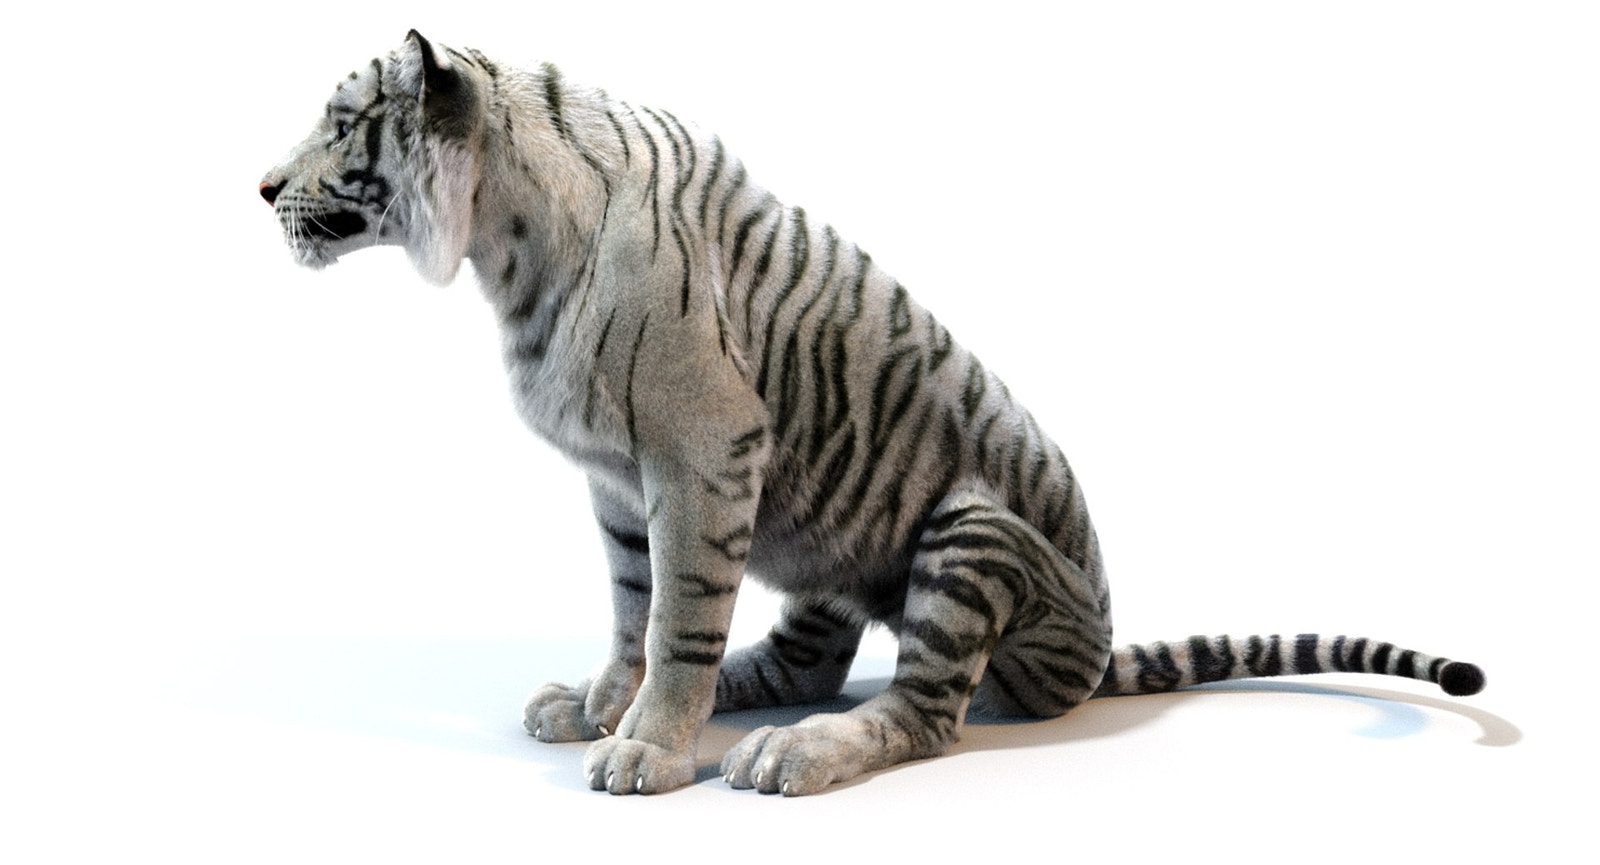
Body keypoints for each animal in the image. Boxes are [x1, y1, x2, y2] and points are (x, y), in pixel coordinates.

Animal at [260, 31, 1486, 796]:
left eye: (340, 122)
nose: (263, 187)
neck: (502, 246)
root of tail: (1101, 639)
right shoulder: (617, 480)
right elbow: (631, 608)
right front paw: (606, 704)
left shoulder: (702, 456)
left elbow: (677, 617)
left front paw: (647, 750)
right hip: (823, 537)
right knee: (808, 656)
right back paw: (747, 711)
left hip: (973, 529)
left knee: (926, 712)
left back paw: (788, 755)